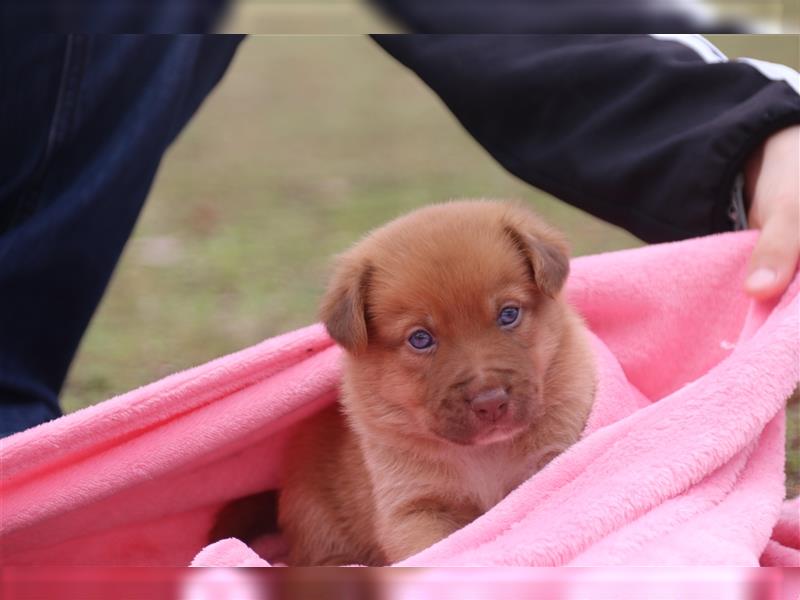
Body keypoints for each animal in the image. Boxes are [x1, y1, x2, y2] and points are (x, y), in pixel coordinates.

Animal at [278, 199, 596, 564]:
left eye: (509, 314)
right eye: (420, 338)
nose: (490, 403)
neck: (486, 454)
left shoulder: (551, 459)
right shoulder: (413, 509)